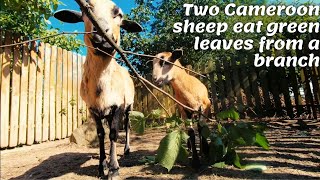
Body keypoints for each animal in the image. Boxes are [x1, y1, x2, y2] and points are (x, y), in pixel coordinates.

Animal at [54, 0, 142, 177]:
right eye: (84, 10)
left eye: (119, 14)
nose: (101, 31)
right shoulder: (92, 108)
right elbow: (101, 134)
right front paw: (103, 167)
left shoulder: (119, 105)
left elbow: (114, 133)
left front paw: (114, 168)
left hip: (129, 105)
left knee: (127, 125)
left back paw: (127, 149)